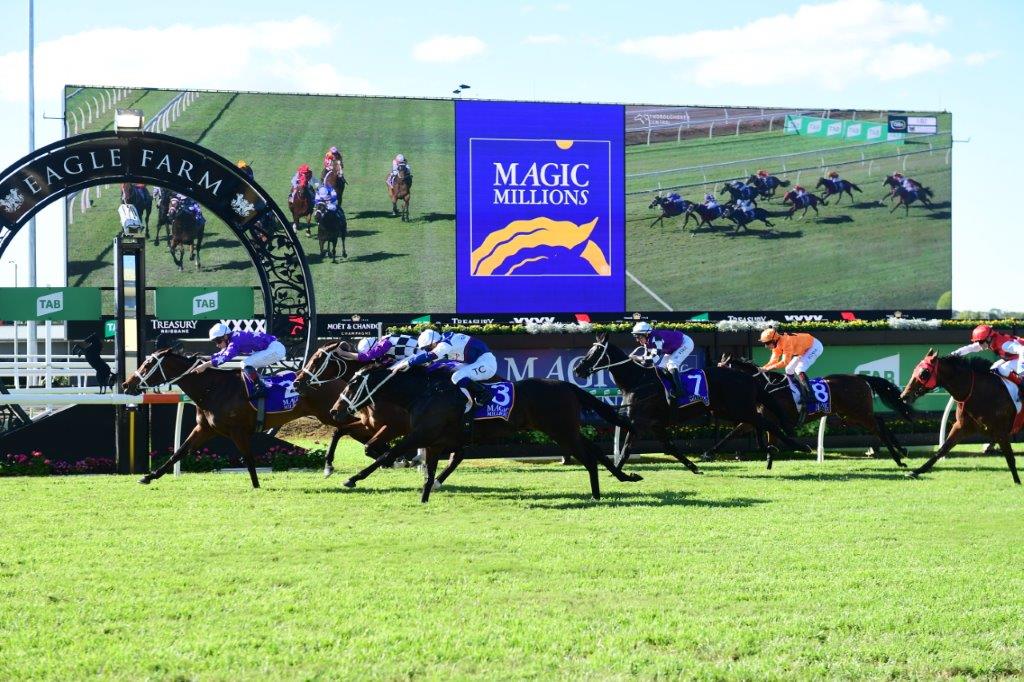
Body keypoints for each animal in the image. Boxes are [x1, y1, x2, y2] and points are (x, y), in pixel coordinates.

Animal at [331, 364, 643, 501]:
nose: (335, 411)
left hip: (562, 431)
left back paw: (596, 495)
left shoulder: (421, 434)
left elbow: (388, 454)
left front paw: (352, 479)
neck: (426, 392)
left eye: (352, 385)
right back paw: (624, 476)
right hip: (566, 430)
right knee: (595, 451)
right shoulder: (435, 440)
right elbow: (430, 472)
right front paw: (425, 496)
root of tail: (567, 386)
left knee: (589, 458)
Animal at [577, 331, 806, 471]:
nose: (577, 370)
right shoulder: (654, 424)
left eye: (595, 352)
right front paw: (694, 468)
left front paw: (616, 471)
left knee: (767, 423)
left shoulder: (639, 422)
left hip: (738, 408)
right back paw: (768, 449)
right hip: (728, 410)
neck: (638, 381)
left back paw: (799, 446)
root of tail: (748, 377)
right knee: (758, 423)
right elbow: (670, 448)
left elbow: (625, 450)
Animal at [708, 352, 917, 464]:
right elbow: (733, 433)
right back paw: (902, 450)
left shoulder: (772, 419)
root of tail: (860, 378)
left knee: (878, 426)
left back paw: (899, 456)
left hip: (858, 413)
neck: (766, 387)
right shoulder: (755, 419)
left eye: (722, 369)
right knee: (880, 421)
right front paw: (709, 452)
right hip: (849, 415)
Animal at [901, 350, 1019, 483]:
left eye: (924, 373)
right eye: (914, 370)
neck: (977, 392)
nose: (904, 396)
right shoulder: (961, 426)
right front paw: (914, 472)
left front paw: (1017, 482)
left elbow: (1010, 458)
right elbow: (941, 450)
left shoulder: (1001, 432)